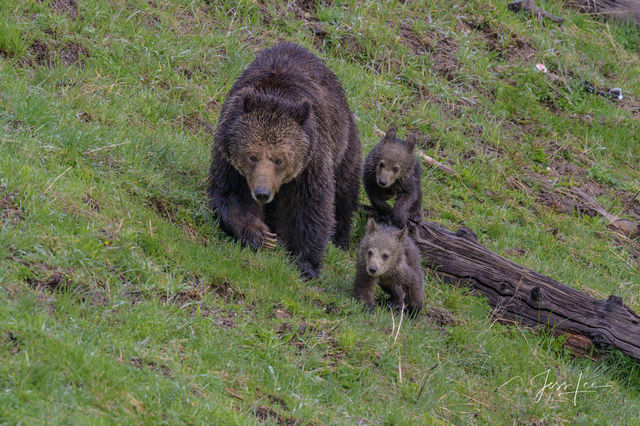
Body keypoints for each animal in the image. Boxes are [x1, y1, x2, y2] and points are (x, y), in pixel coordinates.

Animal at [207, 43, 362, 280]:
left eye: (279, 159)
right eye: (252, 156)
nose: (262, 193)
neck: (274, 95)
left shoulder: (310, 162)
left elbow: (312, 207)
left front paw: (306, 264)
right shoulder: (229, 157)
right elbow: (229, 195)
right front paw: (261, 236)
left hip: (344, 146)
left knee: (345, 193)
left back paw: (340, 240)